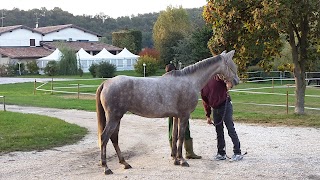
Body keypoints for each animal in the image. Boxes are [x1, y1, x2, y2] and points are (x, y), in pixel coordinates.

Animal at [95, 50, 238, 174]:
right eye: (232, 66)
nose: (236, 81)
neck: (190, 81)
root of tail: (106, 83)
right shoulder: (184, 116)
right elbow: (181, 136)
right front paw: (182, 160)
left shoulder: (175, 117)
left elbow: (174, 136)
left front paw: (175, 159)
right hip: (114, 117)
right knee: (104, 137)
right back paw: (106, 168)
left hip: (117, 118)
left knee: (114, 138)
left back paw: (124, 163)